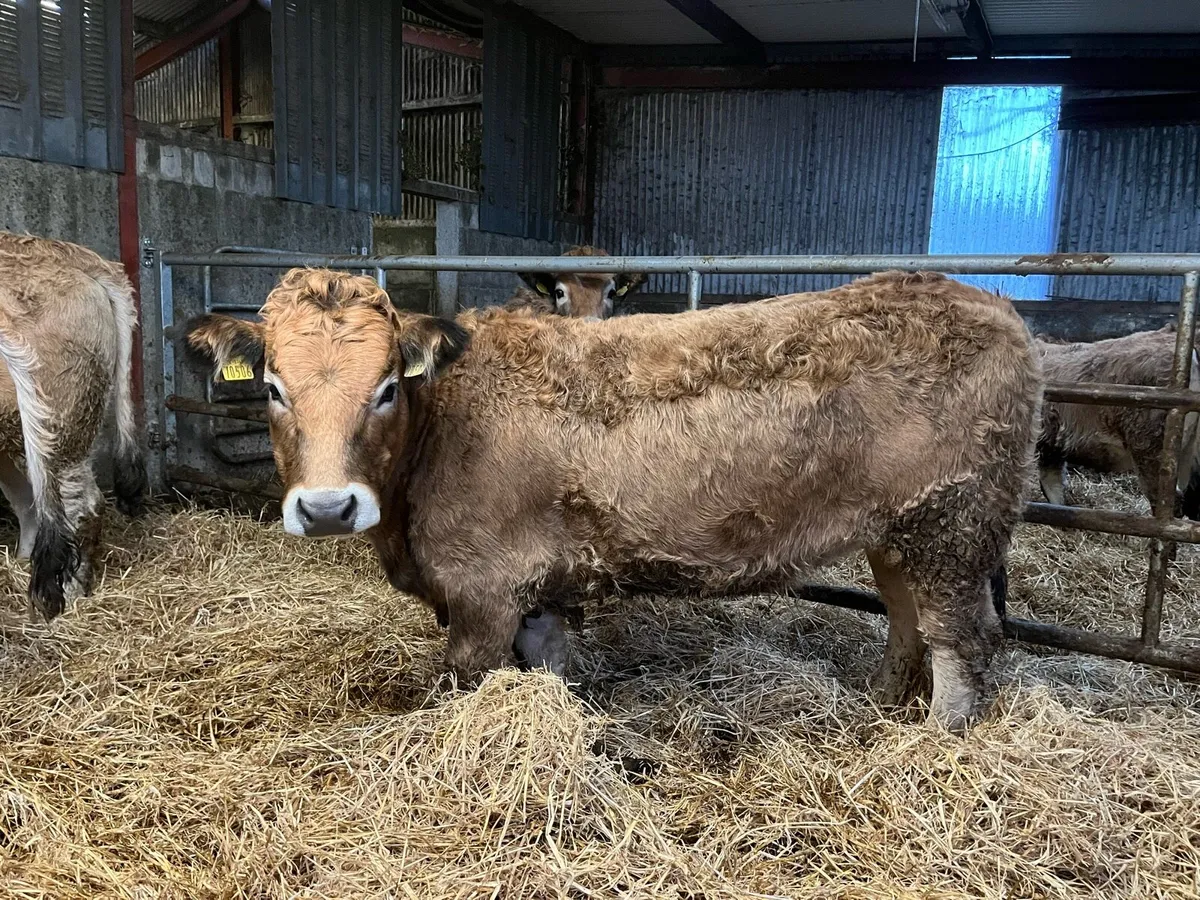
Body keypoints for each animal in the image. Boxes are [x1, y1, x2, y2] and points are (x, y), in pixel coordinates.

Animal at [187, 268, 1040, 730]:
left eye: (388, 387)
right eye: (272, 387)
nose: (328, 507)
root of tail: (987, 302)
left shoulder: (481, 591)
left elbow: (465, 683)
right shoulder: (538, 589)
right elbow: (549, 669)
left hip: (954, 521)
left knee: (962, 639)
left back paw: (933, 739)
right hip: (898, 529)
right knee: (907, 618)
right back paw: (885, 704)